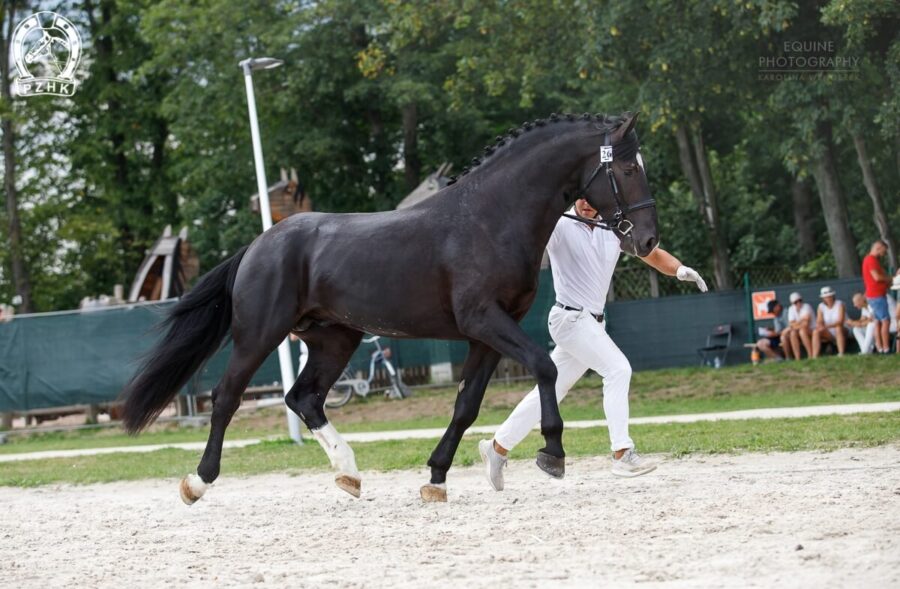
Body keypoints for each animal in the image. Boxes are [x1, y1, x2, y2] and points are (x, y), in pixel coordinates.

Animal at [121, 112, 652, 504]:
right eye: (628, 169)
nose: (647, 240)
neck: (489, 217)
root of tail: (258, 245)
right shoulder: (484, 320)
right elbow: (544, 366)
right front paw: (553, 452)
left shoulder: (486, 334)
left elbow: (466, 405)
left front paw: (436, 478)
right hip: (259, 335)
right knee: (227, 397)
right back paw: (198, 481)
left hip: (335, 339)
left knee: (304, 398)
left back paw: (349, 473)